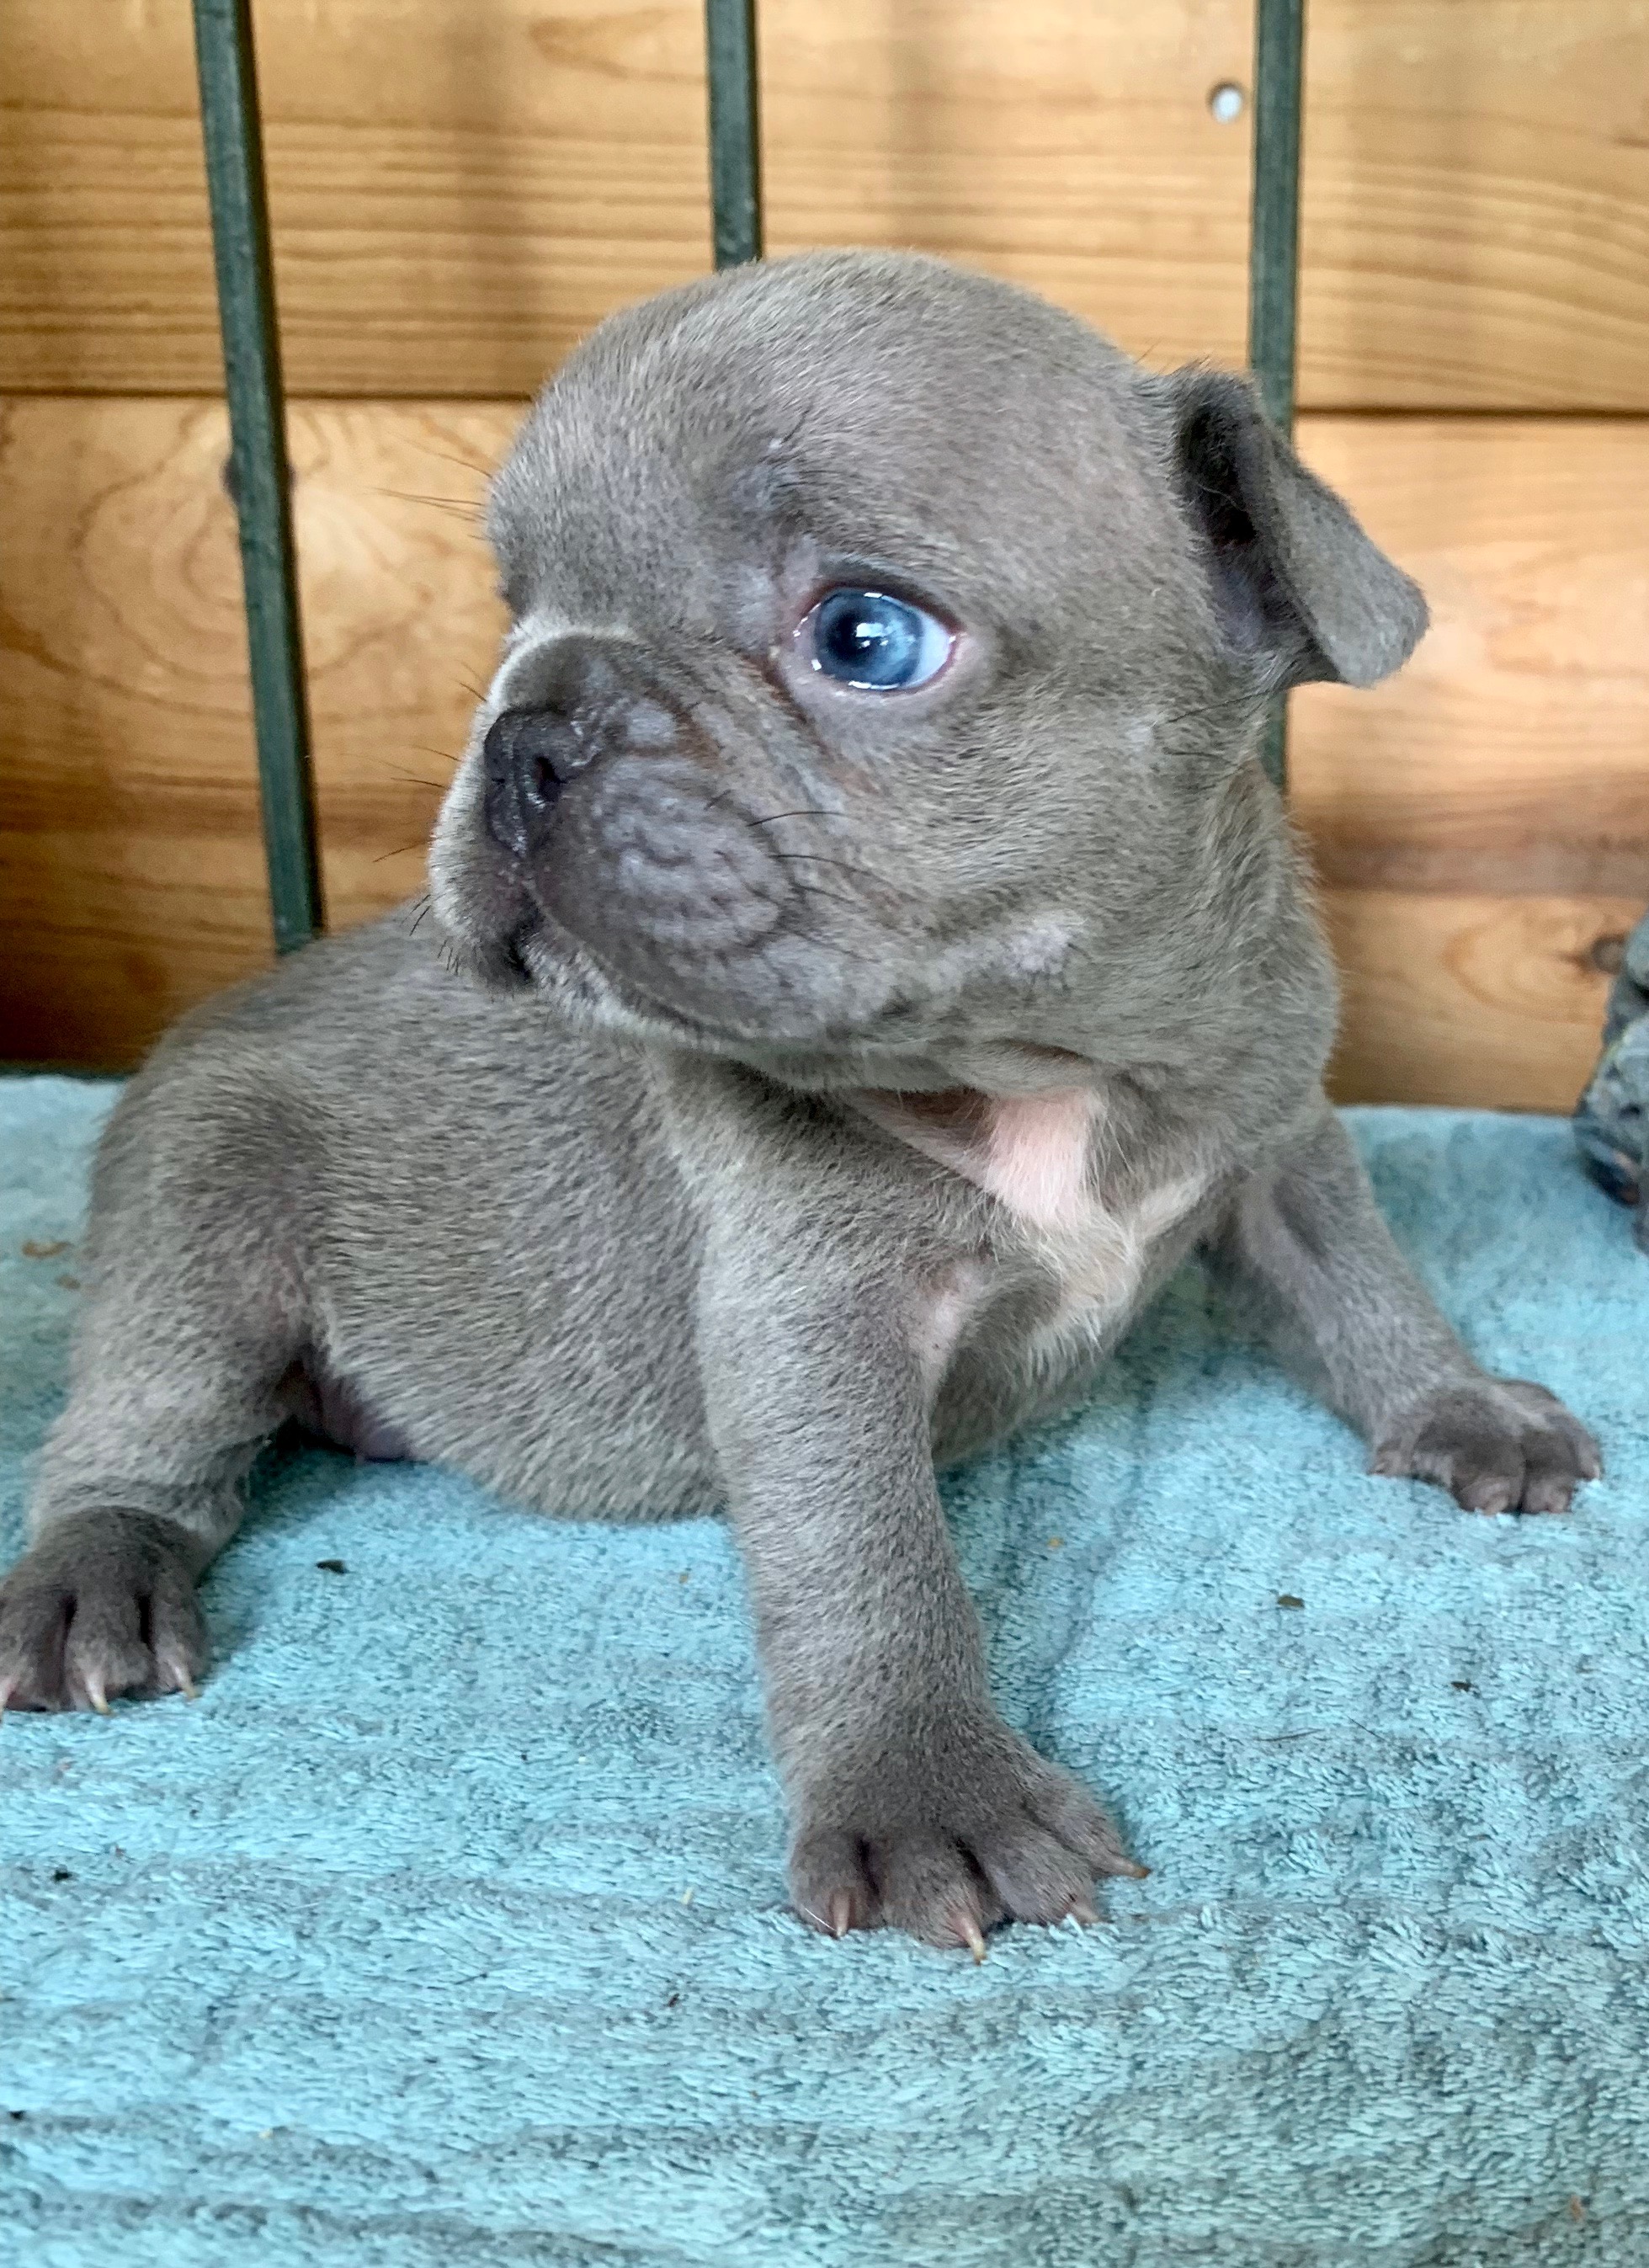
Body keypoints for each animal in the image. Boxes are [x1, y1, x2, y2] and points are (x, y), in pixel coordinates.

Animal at [0, 253, 1597, 1950]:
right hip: (201, 1227)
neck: (1053, 1065)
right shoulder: (812, 1319)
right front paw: (928, 1788)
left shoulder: (1275, 1129)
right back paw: (93, 1584)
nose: (524, 722)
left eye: (865, 635)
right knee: (139, 1436)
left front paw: (1455, 1403)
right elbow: (868, 1552)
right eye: (512, 608)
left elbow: (1360, 1278)